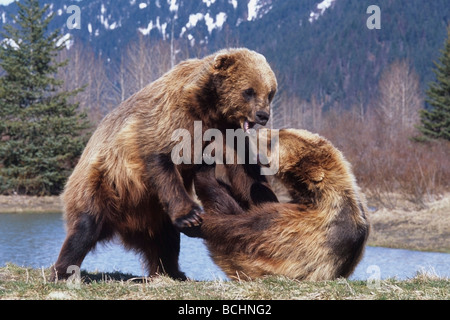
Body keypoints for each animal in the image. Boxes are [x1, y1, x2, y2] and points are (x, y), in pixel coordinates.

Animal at [51, 47, 278, 280]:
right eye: (249, 91)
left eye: (270, 92)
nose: (263, 115)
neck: (208, 109)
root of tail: (124, 223)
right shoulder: (171, 118)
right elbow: (161, 159)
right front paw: (190, 216)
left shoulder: (227, 133)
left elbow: (245, 171)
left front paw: (267, 201)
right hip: (102, 183)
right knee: (85, 228)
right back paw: (63, 271)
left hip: (151, 211)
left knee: (166, 240)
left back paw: (174, 271)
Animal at [193, 129, 370, 282]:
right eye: (280, 130)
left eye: (272, 142)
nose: (257, 131)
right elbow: (259, 197)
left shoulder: (308, 225)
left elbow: (247, 227)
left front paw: (201, 223)